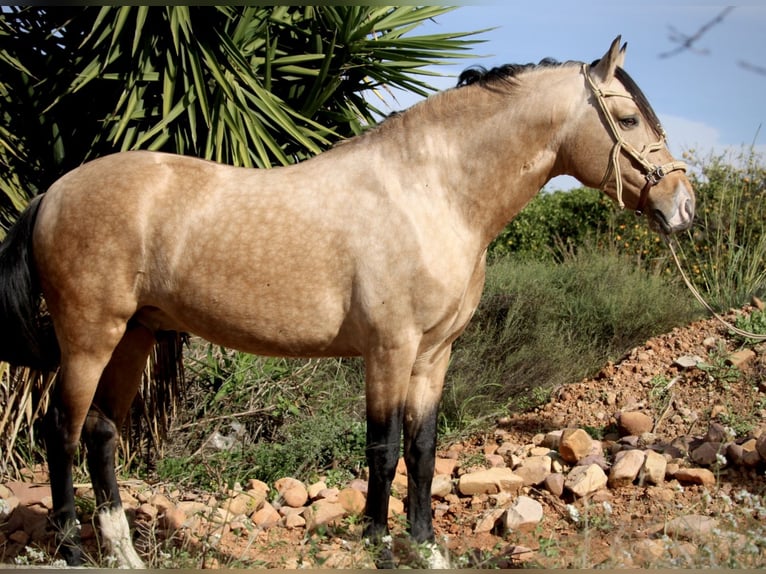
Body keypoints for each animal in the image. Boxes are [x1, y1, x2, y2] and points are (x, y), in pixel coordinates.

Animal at [0, 38, 696, 568]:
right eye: (628, 121)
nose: (682, 206)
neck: (432, 191)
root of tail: (52, 192)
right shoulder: (389, 348)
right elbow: (382, 450)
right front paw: (381, 548)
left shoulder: (433, 356)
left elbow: (422, 449)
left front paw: (427, 548)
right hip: (90, 336)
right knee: (60, 431)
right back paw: (71, 551)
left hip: (135, 336)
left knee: (100, 432)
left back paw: (123, 554)